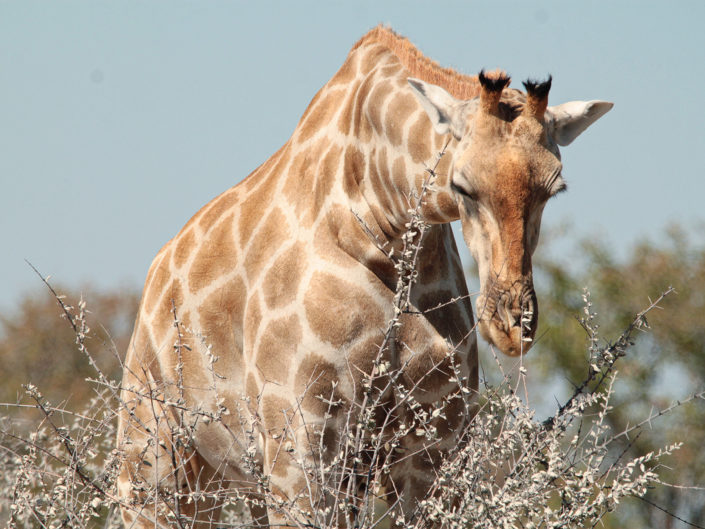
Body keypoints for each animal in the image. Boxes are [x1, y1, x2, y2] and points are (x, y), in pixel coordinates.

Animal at [117, 26, 612, 527]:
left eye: (554, 188)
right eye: (462, 186)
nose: (511, 325)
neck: (381, 221)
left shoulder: (435, 441)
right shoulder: (301, 442)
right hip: (155, 459)